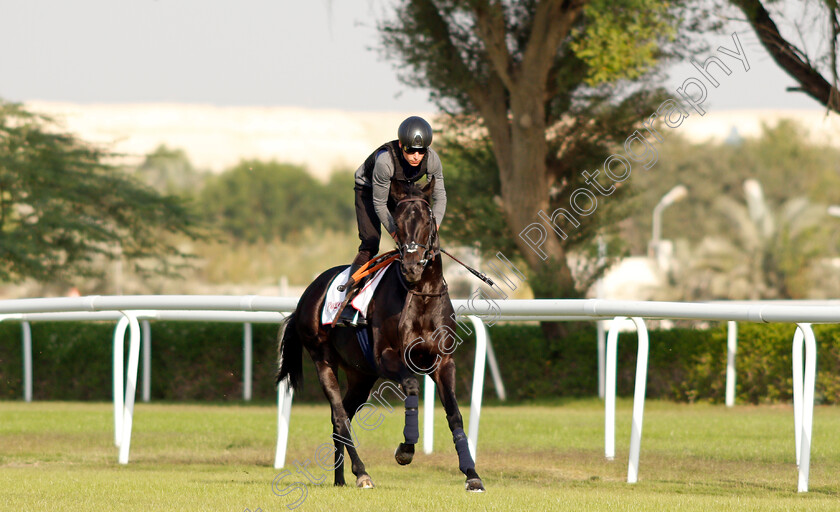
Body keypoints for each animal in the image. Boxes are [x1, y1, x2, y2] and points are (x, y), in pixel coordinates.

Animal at [276, 177, 486, 492]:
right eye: (397, 223)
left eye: (428, 221)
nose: (411, 266)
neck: (420, 294)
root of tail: (306, 295)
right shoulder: (387, 357)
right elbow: (411, 387)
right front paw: (405, 450)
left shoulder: (443, 361)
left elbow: (454, 413)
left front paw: (471, 474)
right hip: (323, 359)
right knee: (340, 416)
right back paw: (361, 473)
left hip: (360, 375)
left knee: (342, 418)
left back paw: (340, 478)